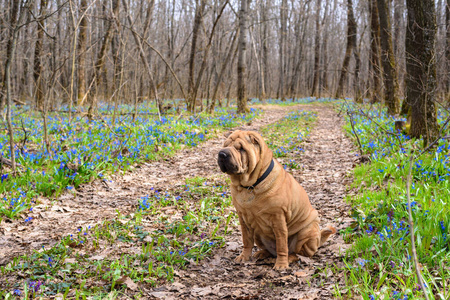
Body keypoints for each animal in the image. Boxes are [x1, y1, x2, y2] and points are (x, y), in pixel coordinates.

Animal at [216, 130, 336, 270]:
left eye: (241, 149)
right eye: (225, 145)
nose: (222, 153)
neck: (250, 185)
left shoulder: (278, 217)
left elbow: (281, 244)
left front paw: (281, 264)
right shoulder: (243, 218)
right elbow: (246, 240)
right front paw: (244, 257)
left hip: (307, 232)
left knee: (299, 253)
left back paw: (289, 258)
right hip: (258, 234)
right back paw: (261, 253)